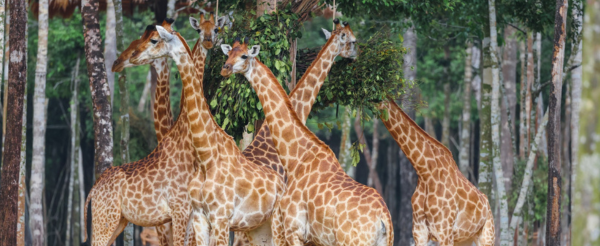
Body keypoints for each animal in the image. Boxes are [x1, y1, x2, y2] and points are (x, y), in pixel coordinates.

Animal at [130, 26, 284, 246]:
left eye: (154, 40)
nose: (133, 55)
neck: (205, 158)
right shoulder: (199, 217)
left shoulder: (221, 217)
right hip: (258, 228)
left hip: (279, 222)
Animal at [220, 38, 394, 246]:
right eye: (229, 53)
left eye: (244, 56)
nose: (225, 68)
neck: (296, 157)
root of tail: (383, 217)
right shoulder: (311, 238)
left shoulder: (294, 230)